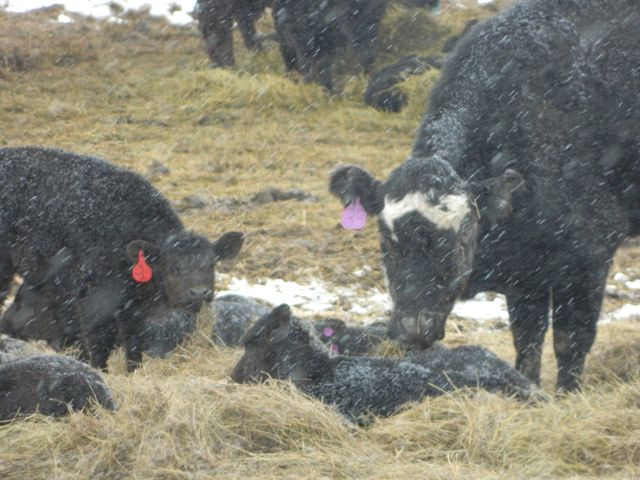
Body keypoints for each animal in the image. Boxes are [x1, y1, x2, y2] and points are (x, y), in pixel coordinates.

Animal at [0, 146, 245, 372]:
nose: (199, 293)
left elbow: (134, 343)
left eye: (212, 263)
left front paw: (133, 371)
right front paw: (101, 372)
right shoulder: (96, 303)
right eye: (173, 268)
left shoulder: (131, 309)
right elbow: (100, 345)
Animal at [330, 0, 640, 392]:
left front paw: (568, 395)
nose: (412, 329)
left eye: (462, 239)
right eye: (387, 241)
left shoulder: (590, 252)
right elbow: (527, 338)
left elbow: (571, 340)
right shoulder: (526, 272)